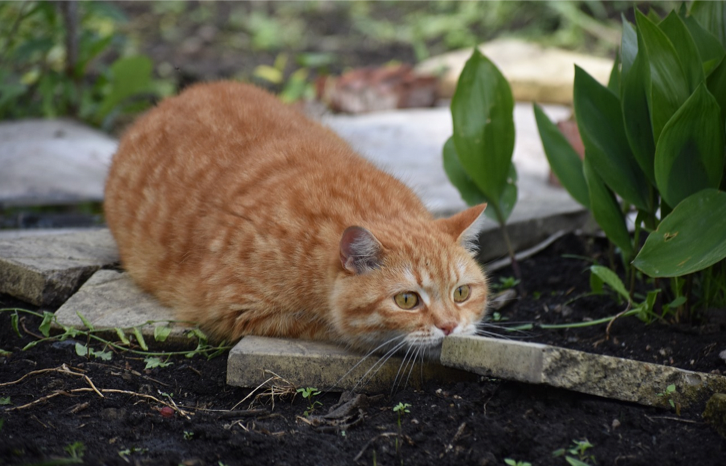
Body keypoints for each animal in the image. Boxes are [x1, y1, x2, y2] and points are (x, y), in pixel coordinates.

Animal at [104, 82, 490, 354]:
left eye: (461, 293)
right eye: (407, 300)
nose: (450, 326)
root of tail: (173, 99)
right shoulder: (237, 310)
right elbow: (333, 327)